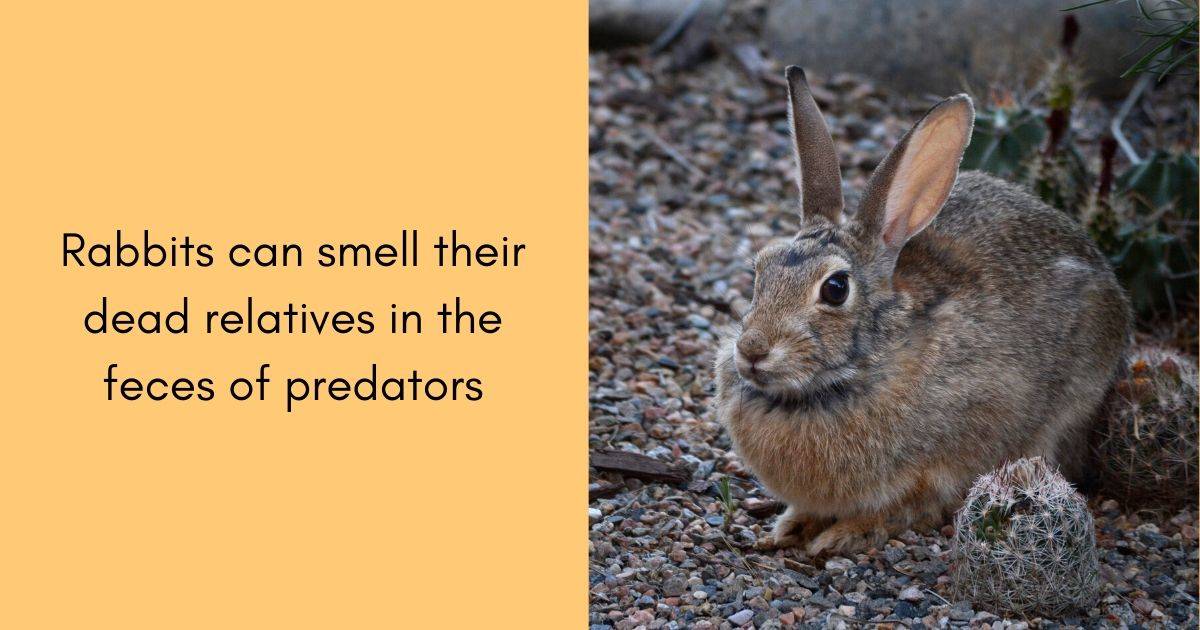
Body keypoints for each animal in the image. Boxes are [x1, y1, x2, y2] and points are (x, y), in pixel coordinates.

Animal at [714, 67, 1131, 556]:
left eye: (835, 289)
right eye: (760, 270)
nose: (752, 351)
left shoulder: (954, 456)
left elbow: (914, 504)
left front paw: (843, 535)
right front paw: (791, 527)